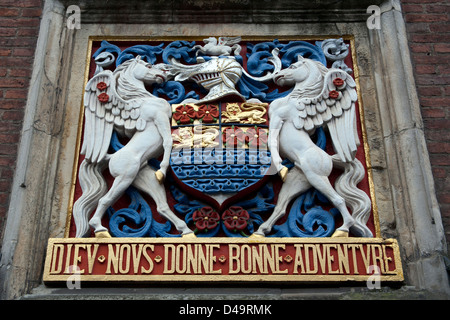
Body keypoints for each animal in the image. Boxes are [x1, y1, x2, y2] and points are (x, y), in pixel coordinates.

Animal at [73, 56, 194, 238]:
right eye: (149, 65)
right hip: (125, 177)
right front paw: (163, 169)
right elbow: (168, 141)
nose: (165, 72)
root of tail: (111, 157)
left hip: (144, 179)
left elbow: (185, 105)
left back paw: (187, 231)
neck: (145, 98)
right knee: (104, 200)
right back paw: (100, 230)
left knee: (161, 207)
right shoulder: (160, 117)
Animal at [253, 55, 372, 238]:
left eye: (293, 66)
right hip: (298, 180)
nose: (277, 76)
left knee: (338, 200)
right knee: (281, 208)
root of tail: (328, 158)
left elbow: (272, 139)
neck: (294, 98)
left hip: (316, 176)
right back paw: (259, 232)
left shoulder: (277, 117)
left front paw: (278, 165)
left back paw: (342, 230)